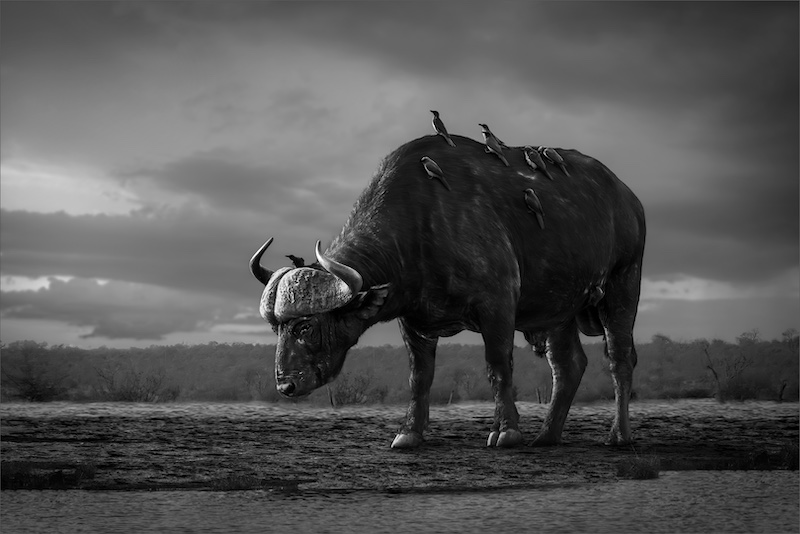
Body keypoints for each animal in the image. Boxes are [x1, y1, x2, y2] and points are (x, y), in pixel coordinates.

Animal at [250, 134, 646, 449]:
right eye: (276, 328)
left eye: (306, 326)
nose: (285, 386)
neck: (421, 225)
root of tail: (628, 198)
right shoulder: (414, 322)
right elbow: (419, 376)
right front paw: (409, 433)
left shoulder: (498, 304)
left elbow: (498, 366)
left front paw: (506, 431)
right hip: (558, 308)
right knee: (568, 365)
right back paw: (547, 436)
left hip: (623, 284)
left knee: (619, 358)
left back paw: (619, 435)